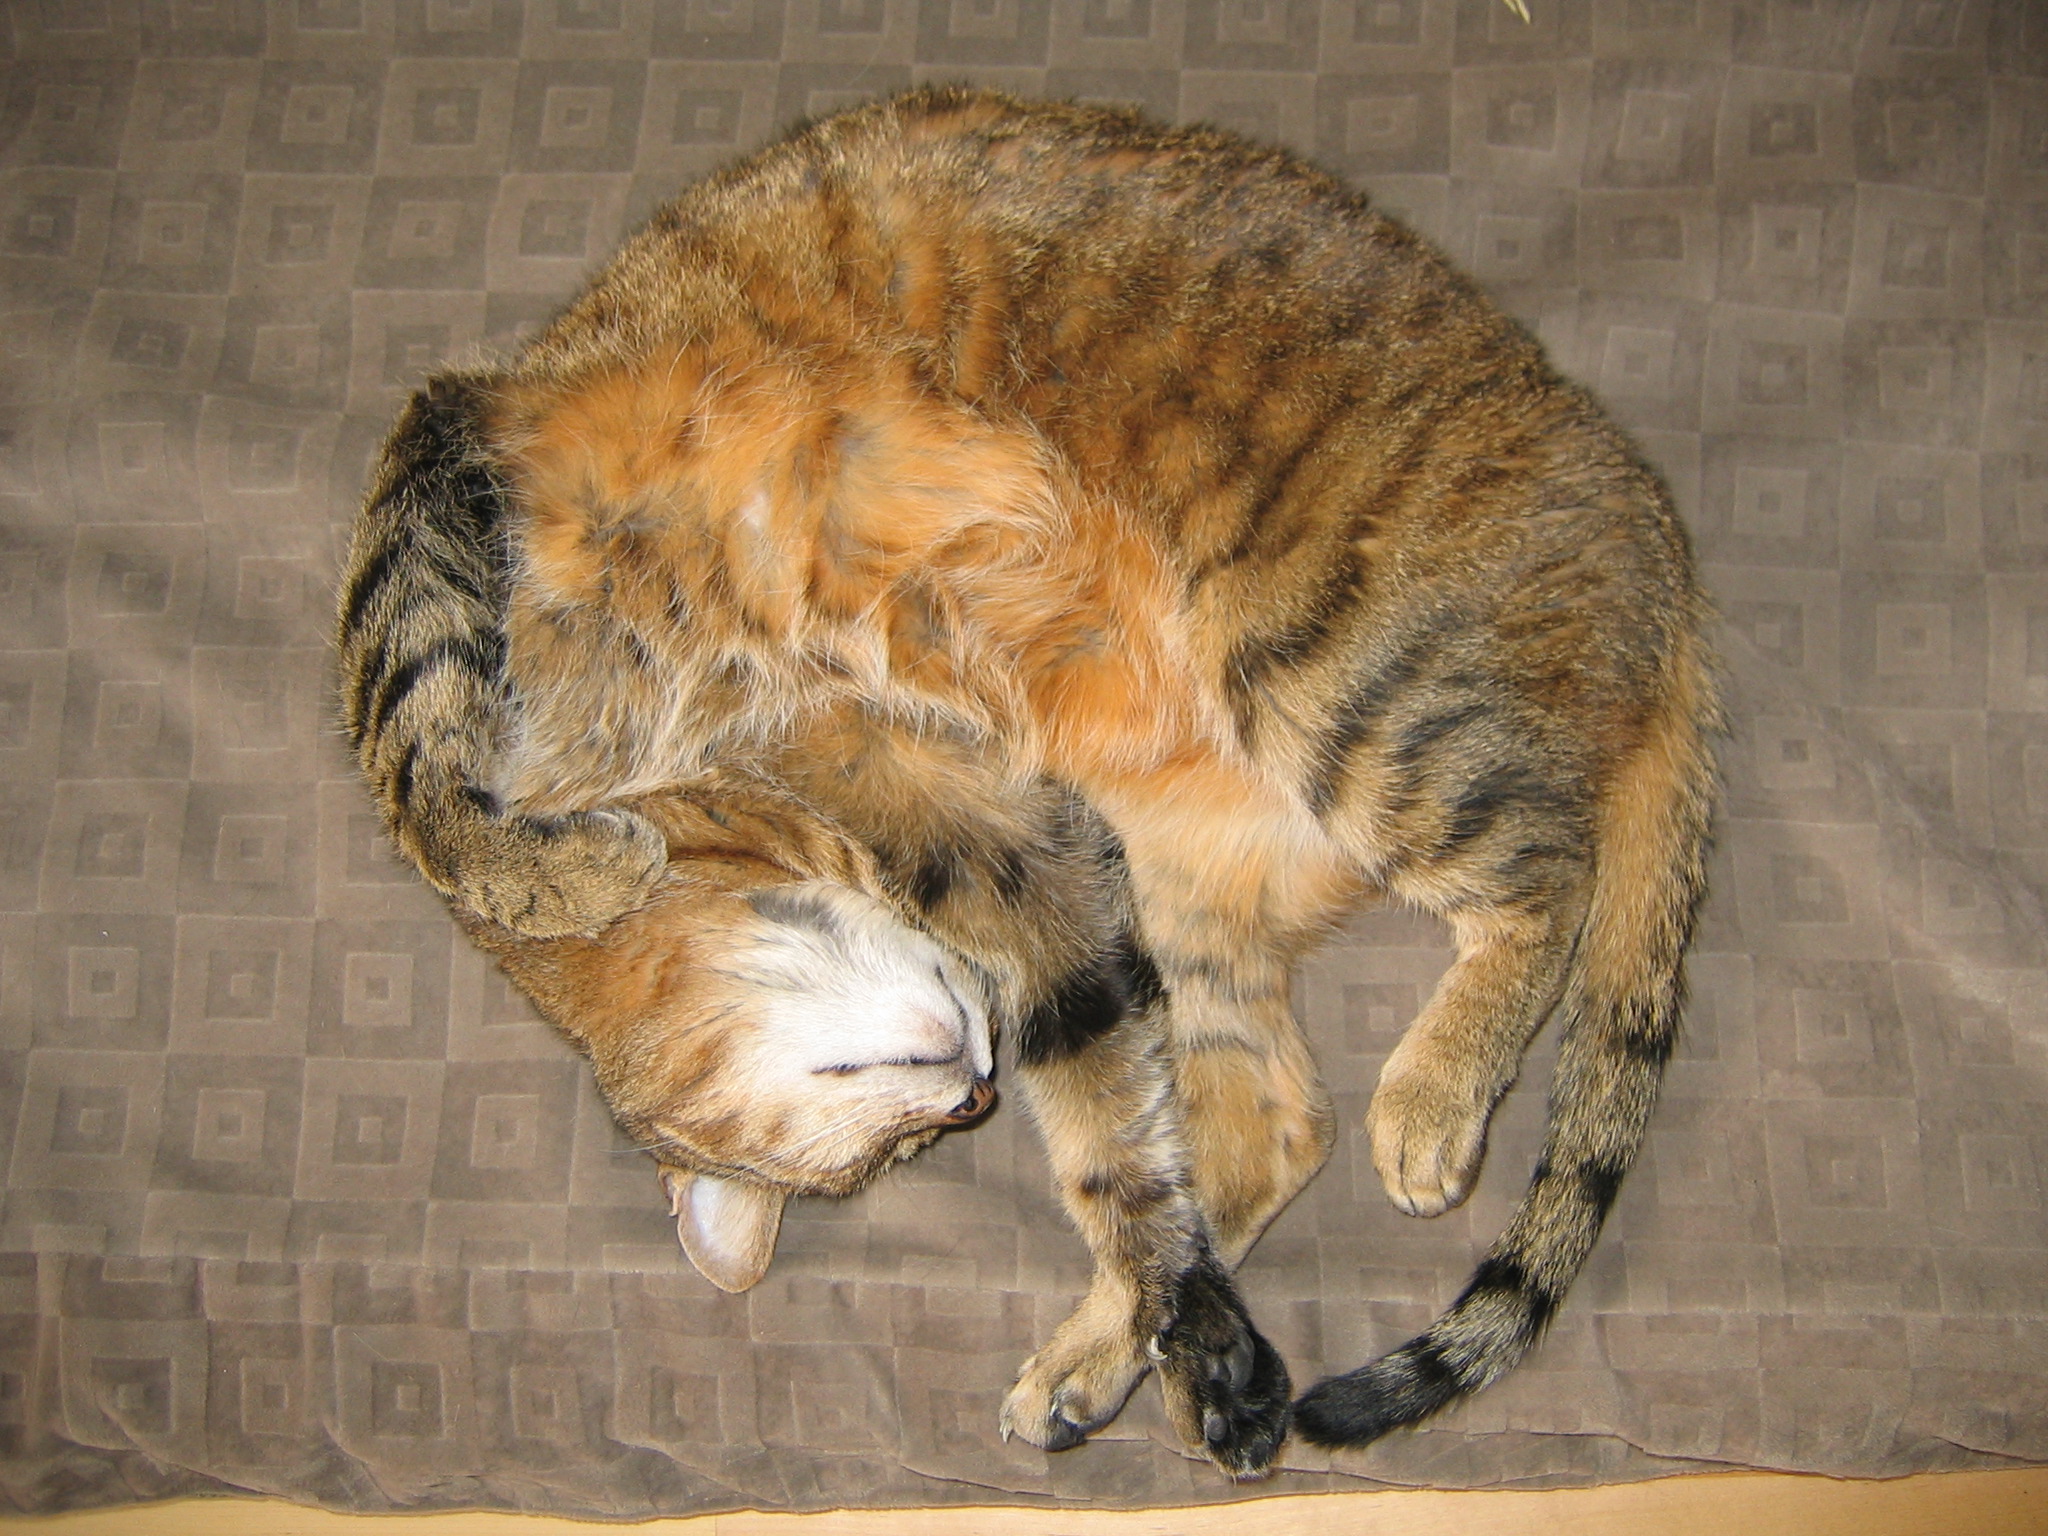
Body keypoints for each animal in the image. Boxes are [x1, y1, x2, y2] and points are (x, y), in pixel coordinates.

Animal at [335, 87, 1712, 1482]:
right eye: (900, 1138)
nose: (975, 1091)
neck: (718, 779)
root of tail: (1655, 532)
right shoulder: (984, 835)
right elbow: (1116, 1131)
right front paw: (1191, 1330)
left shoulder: (450, 447)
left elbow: (413, 756)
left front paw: (557, 867)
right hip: (1186, 867)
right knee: (1274, 1118)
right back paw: (1102, 1356)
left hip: (1330, 669)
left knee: (1548, 881)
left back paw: (1428, 1098)